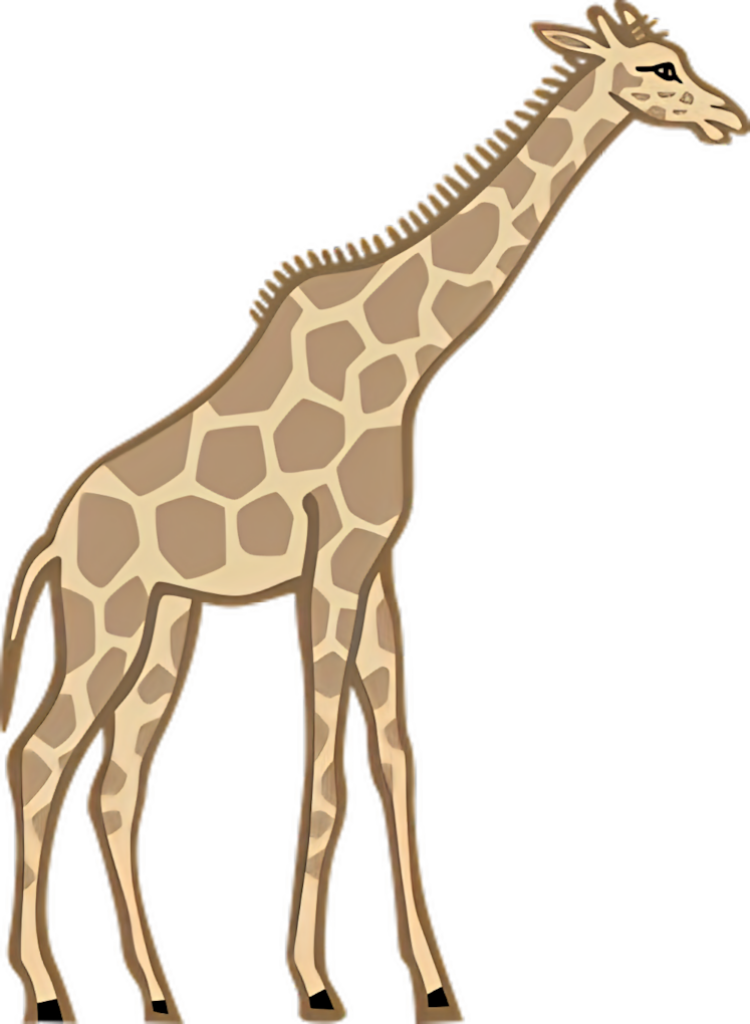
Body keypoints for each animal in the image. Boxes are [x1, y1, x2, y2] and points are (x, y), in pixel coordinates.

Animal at [1, 3, 747, 1022]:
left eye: (684, 58)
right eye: (659, 67)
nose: (732, 119)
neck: (410, 355)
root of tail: (49, 541)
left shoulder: (380, 562)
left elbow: (396, 758)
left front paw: (432, 988)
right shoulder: (331, 562)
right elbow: (325, 770)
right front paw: (317, 986)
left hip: (168, 625)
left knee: (114, 787)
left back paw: (158, 997)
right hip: (104, 616)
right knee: (38, 758)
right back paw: (46, 995)